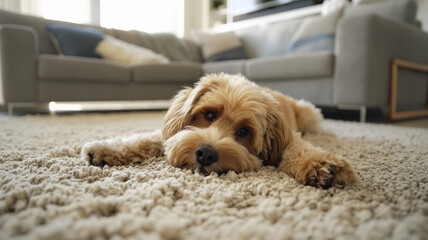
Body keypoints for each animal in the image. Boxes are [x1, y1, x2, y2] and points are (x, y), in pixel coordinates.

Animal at [81, 73, 358, 189]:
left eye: (244, 131)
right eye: (210, 115)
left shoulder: (290, 138)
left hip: (310, 114)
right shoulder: (175, 133)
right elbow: (147, 140)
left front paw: (324, 166)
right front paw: (104, 149)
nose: (205, 154)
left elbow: (300, 151)